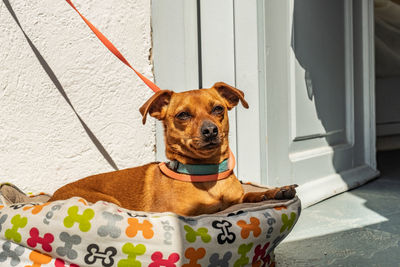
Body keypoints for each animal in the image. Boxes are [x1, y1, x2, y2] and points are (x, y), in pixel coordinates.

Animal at [48, 82, 296, 217]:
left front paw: (275, 192)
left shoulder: (237, 199)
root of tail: (51, 198)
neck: (207, 174)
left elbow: (251, 195)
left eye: (218, 109)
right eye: (183, 115)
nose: (210, 130)